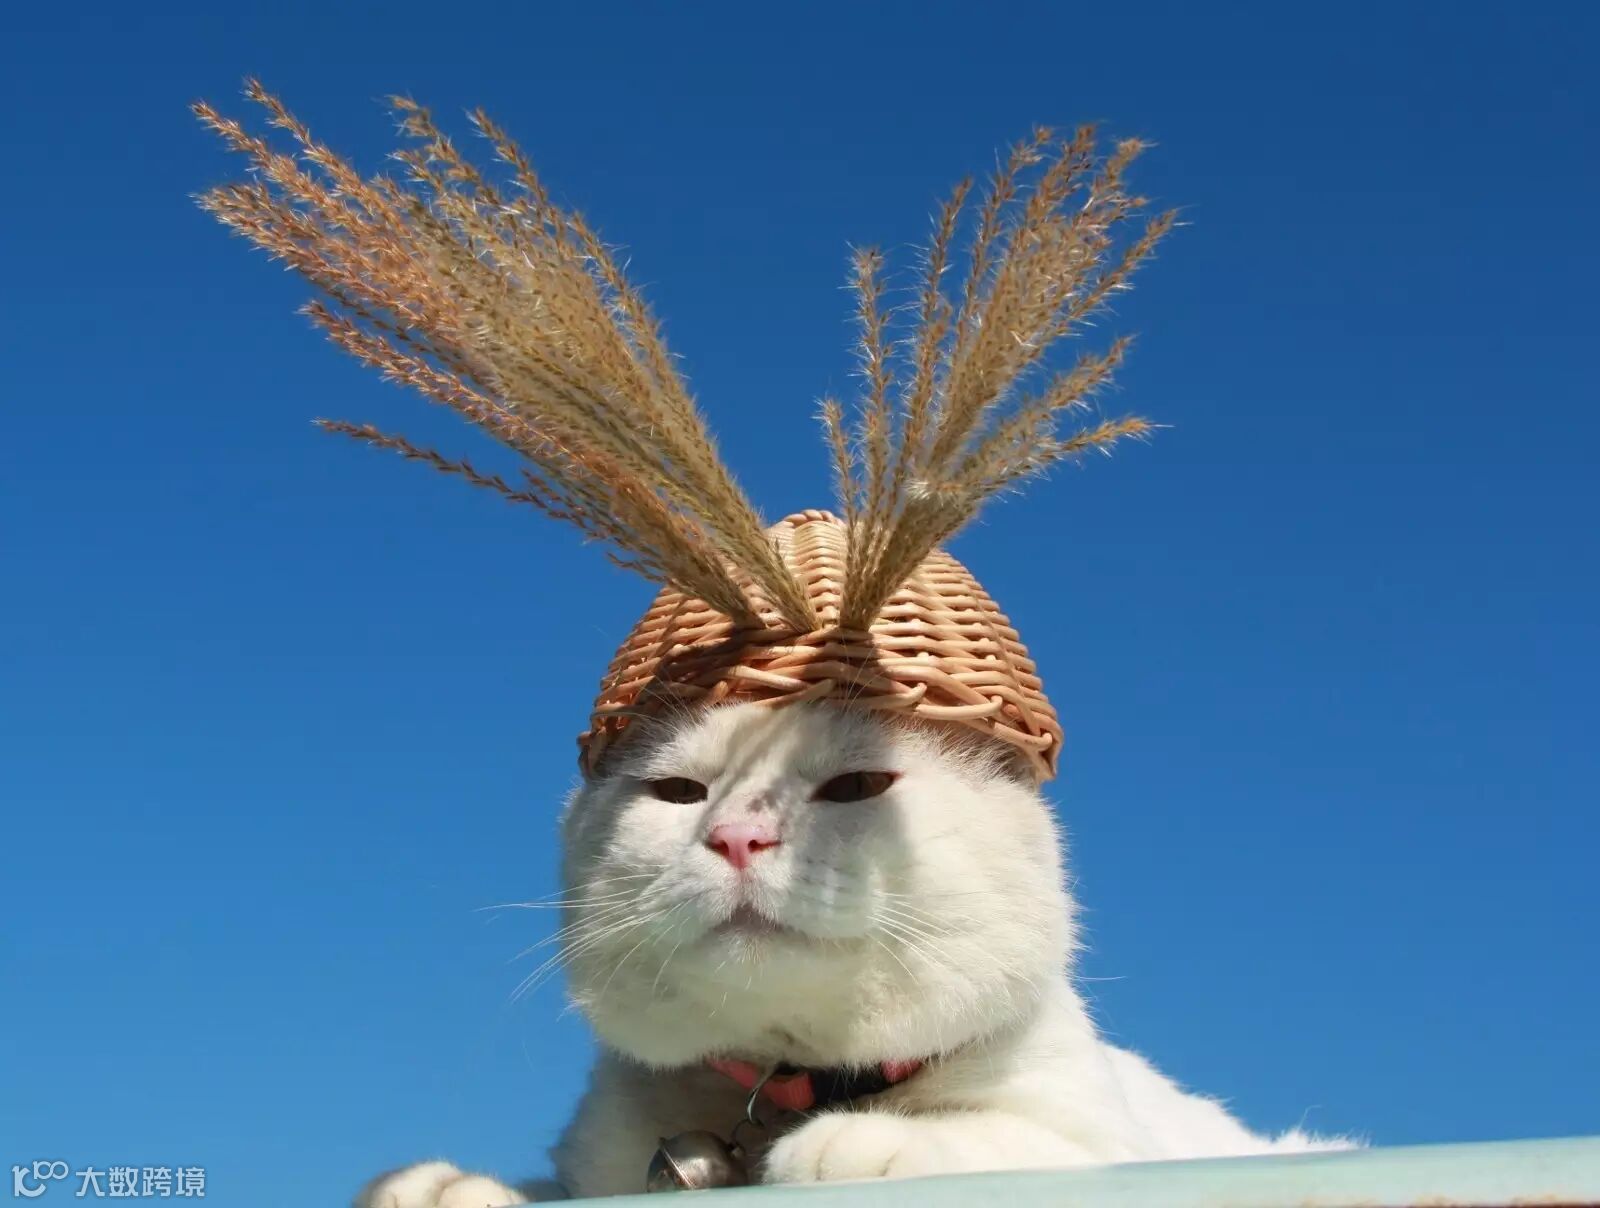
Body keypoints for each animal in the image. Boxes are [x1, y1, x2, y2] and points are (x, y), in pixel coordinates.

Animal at [356, 701, 1347, 1205]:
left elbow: (998, 1137)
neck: (781, 1091)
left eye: (855, 786)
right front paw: (446, 1188)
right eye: (678, 793)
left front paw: (854, 1145)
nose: (739, 836)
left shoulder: (1108, 1147)